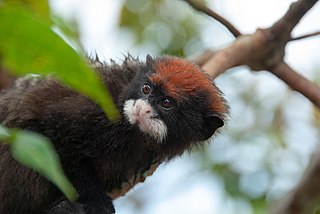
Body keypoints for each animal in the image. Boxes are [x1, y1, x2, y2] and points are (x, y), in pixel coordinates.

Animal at [0, 54, 228, 213]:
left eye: (166, 103)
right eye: (146, 89)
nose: (142, 108)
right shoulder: (98, 106)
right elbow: (52, 135)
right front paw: (98, 202)